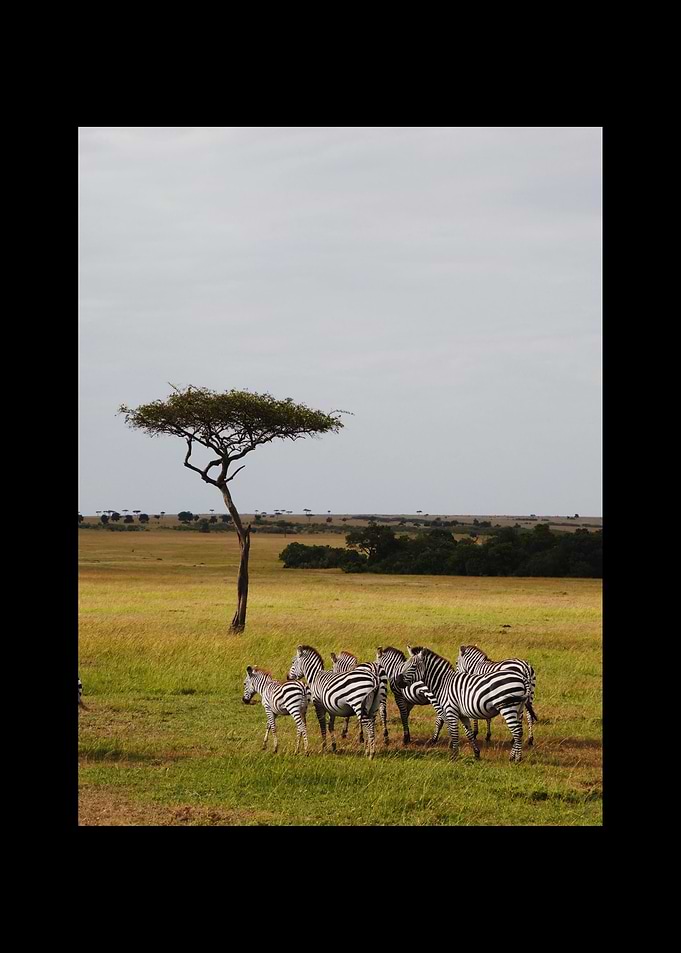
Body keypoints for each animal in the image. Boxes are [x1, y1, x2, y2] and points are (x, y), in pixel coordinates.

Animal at [395, 646, 533, 762]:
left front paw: (454, 756)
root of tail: (522, 676)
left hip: (508, 707)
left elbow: (454, 733)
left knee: (517, 731)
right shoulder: (462, 714)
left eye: (413, 666)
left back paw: (517, 759)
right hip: (519, 707)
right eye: (404, 665)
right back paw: (513, 756)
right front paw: (476, 754)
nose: (397, 681)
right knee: (519, 730)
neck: (443, 683)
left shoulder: (450, 710)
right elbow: (469, 734)